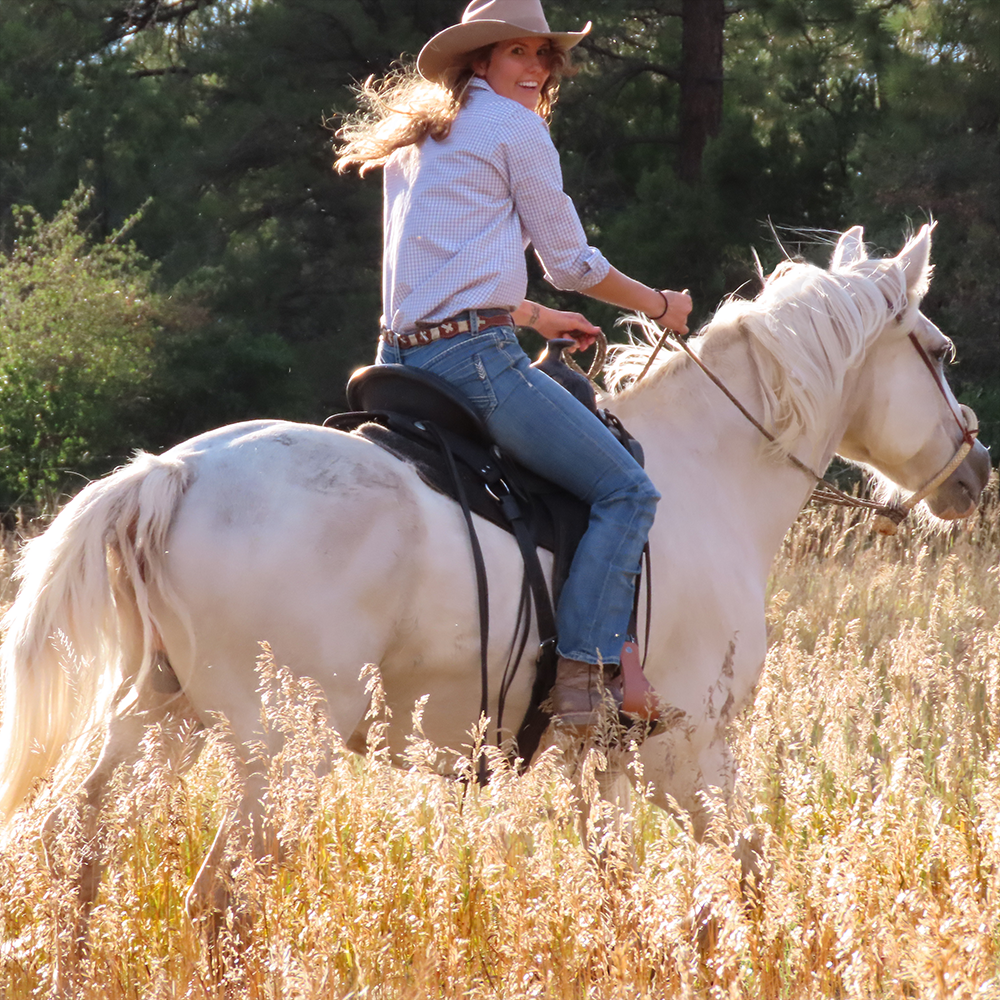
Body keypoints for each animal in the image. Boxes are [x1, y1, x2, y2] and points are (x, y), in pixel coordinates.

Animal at [0, 227, 988, 928]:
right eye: (939, 351)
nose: (976, 475)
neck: (708, 473)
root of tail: (168, 474)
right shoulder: (690, 748)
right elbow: (750, 872)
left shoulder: (607, 758)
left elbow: (623, 889)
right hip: (282, 751)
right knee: (222, 900)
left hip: (161, 719)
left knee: (73, 850)